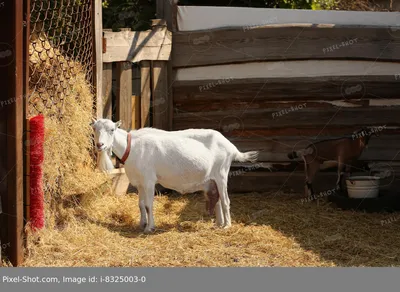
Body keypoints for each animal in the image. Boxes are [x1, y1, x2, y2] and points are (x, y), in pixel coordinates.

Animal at [90, 117, 260, 234]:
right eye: (95, 129)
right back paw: (219, 223)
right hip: (212, 179)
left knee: (225, 200)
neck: (132, 147)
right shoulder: (139, 183)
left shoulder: (149, 181)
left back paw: (227, 226)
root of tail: (232, 148)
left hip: (222, 174)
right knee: (217, 199)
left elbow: (148, 204)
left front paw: (150, 227)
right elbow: (140, 205)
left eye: (112, 129)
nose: (100, 145)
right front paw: (142, 224)